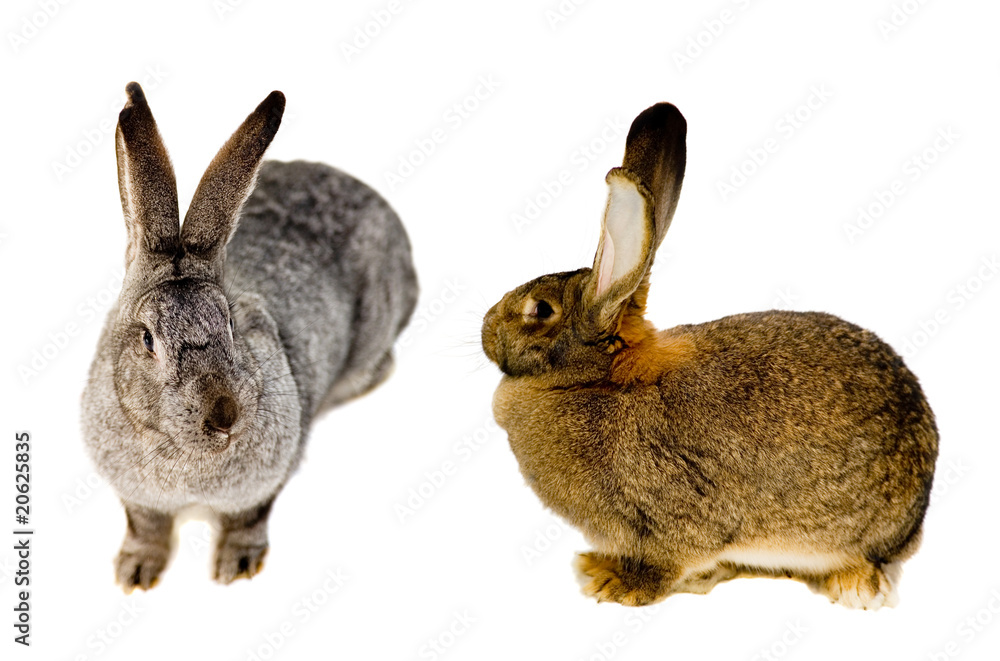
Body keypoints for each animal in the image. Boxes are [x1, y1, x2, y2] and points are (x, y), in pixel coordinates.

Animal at [81, 82, 417, 591]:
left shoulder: (264, 487)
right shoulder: (138, 501)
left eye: (231, 324)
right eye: (148, 340)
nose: (224, 416)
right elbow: (146, 527)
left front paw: (234, 568)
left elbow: (248, 520)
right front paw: (135, 573)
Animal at [481, 102, 938, 610]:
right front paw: (598, 567)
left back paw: (855, 589)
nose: (486, 329)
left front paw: (614, 586)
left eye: (540, 310)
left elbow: (661, 566)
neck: (601, 377)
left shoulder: (667, 519)